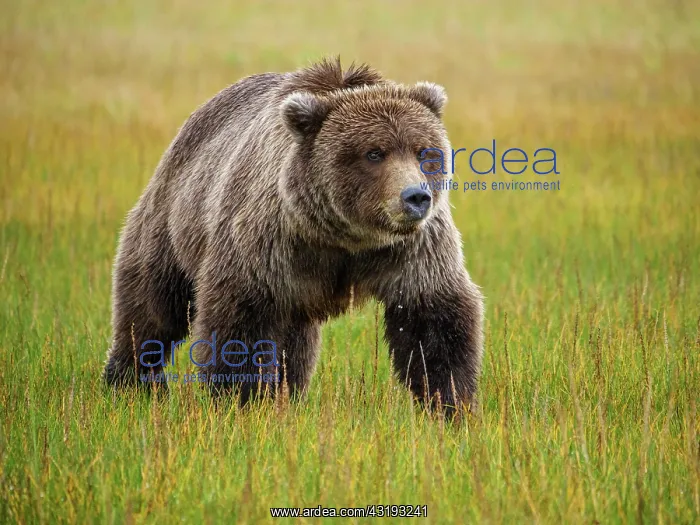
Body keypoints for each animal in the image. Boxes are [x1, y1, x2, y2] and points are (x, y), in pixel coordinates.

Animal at [103, 58, 484, 414]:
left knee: (296, 343)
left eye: (424, 151)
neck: (345, 236)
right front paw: (242, 401)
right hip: (172, 219)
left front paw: (451, 403)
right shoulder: (269, 240)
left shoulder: (412, 248)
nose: (415, 197)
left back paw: (290, 394)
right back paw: (130, 382)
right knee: (151, 308)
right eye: (374, 152)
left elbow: (432, 316)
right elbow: (242, 320)